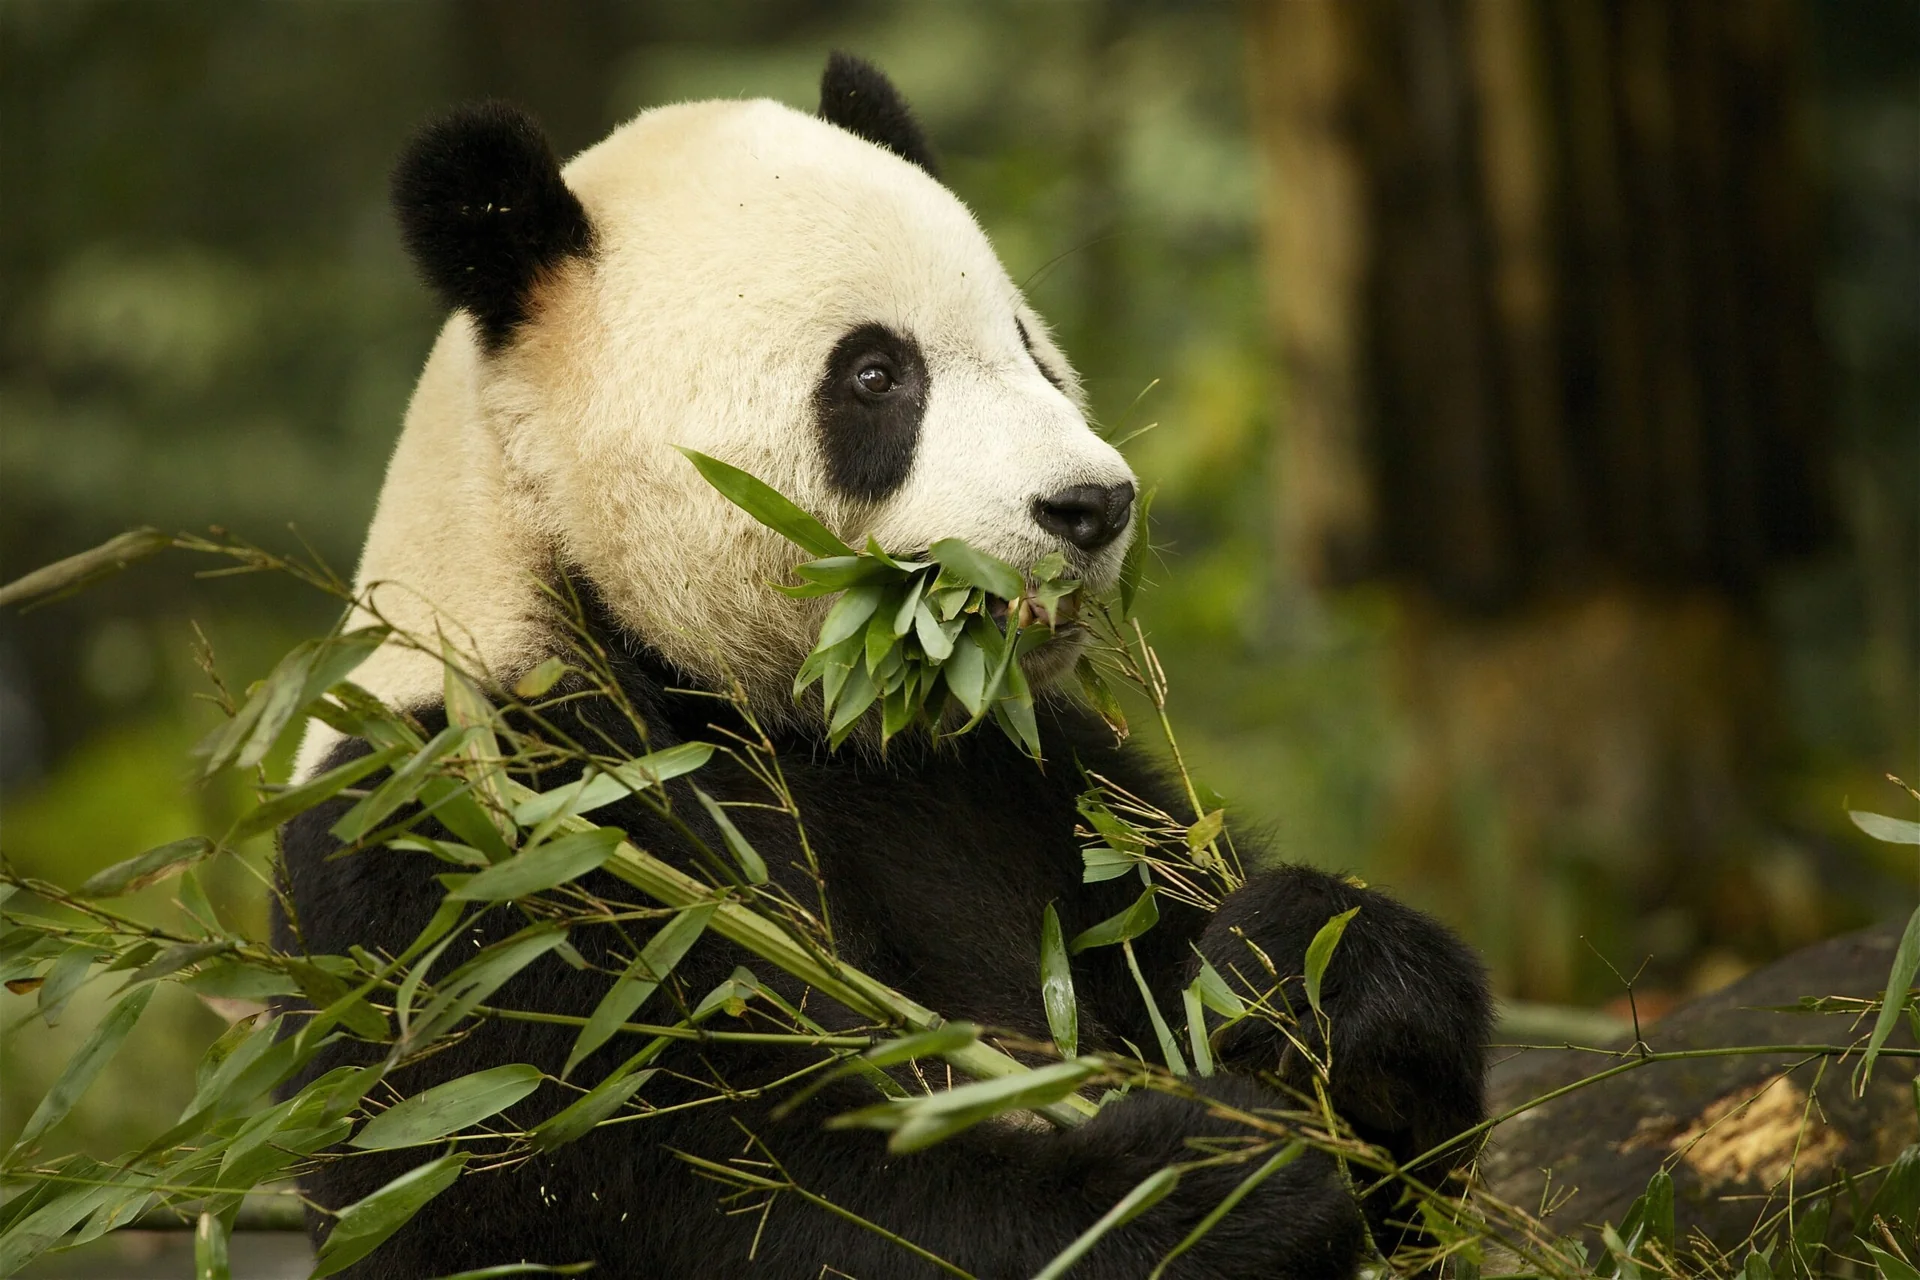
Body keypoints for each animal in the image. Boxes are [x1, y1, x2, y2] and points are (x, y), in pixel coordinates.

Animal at [277, 53, 1491, 1280]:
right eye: (874, 374)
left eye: (1030, 347)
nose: (1093, 505)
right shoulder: (486, 829)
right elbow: (662, 1176)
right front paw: (1208, 1183)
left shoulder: (1035, 784)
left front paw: (1304, 974)